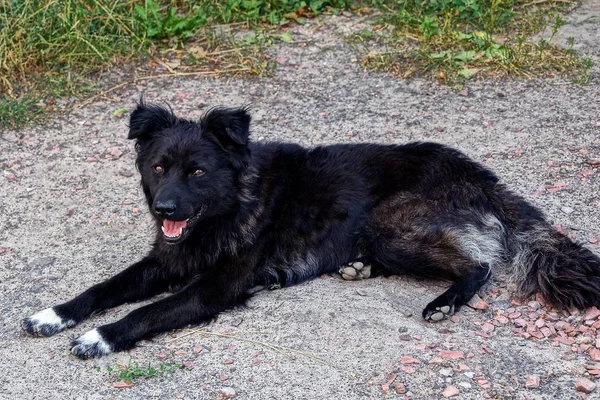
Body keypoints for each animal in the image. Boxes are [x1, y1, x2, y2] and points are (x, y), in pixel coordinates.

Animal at [21, 101, 600, 358]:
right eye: (159, 166)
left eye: (199, 172)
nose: (164, 210)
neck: (231, 206)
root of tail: (480, 174)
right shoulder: (165, 261)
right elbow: (103, 289)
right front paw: (55, 315)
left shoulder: (213, 288)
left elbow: (146, 311)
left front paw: (100, 336)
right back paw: (360, 267)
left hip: (391, 224)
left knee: (478, 264)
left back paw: (445, 301)